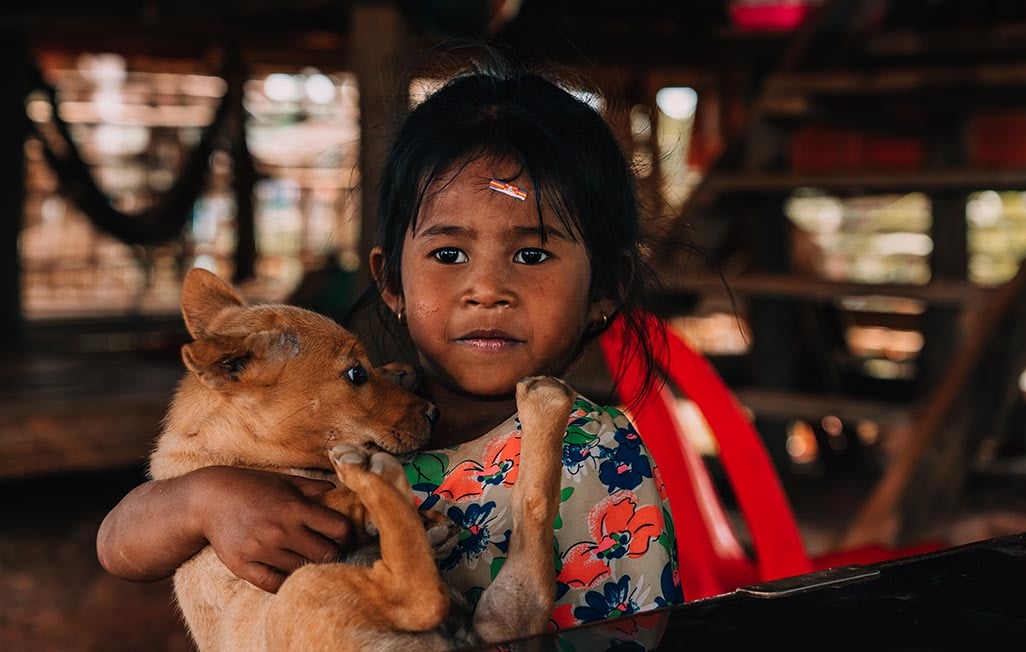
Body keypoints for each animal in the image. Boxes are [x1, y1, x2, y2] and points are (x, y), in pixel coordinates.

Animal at [148, 266, 574, 648]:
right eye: (355, 374)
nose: (434, 413)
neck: (238, 450)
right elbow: (324, 497)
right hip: (302, 587)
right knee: (420, 599)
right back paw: (376, 479)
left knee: (526, 544)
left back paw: (544, 400)